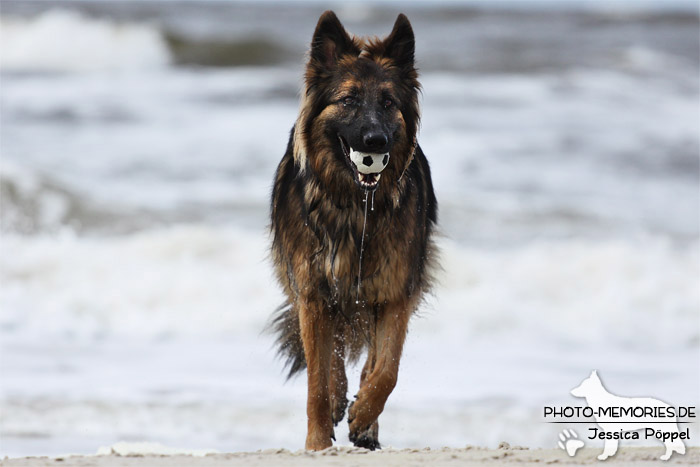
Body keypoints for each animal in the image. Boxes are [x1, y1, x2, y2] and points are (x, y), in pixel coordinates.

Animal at [270, 10, 438, 450]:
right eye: (348, 100)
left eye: (388, 102)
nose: (375, 141)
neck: (355, 208)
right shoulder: (313, 294)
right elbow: (318, 380)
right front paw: (317, 443)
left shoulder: (395, 293)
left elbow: (387, 369)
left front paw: (364, 414)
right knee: (331, 362)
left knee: (371, 361)